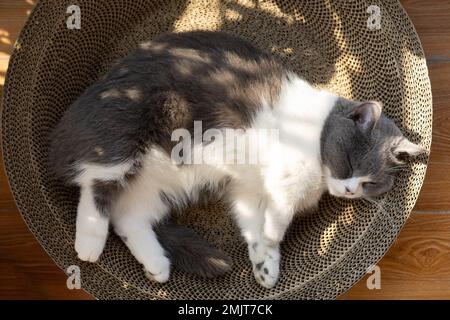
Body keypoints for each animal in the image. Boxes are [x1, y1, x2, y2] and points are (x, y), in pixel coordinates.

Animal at [49, 31, 426, 288]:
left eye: (371, 182)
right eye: (349, 161)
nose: (350, 190)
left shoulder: (249, 191)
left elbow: (252, 224)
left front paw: (265, 265)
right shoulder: (283, 176)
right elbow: (280, 211)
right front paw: (273, 236)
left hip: (157, 187)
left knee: (127, 217)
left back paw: (158, 265)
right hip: (124, 131)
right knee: (96, 183)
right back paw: (88, 243)